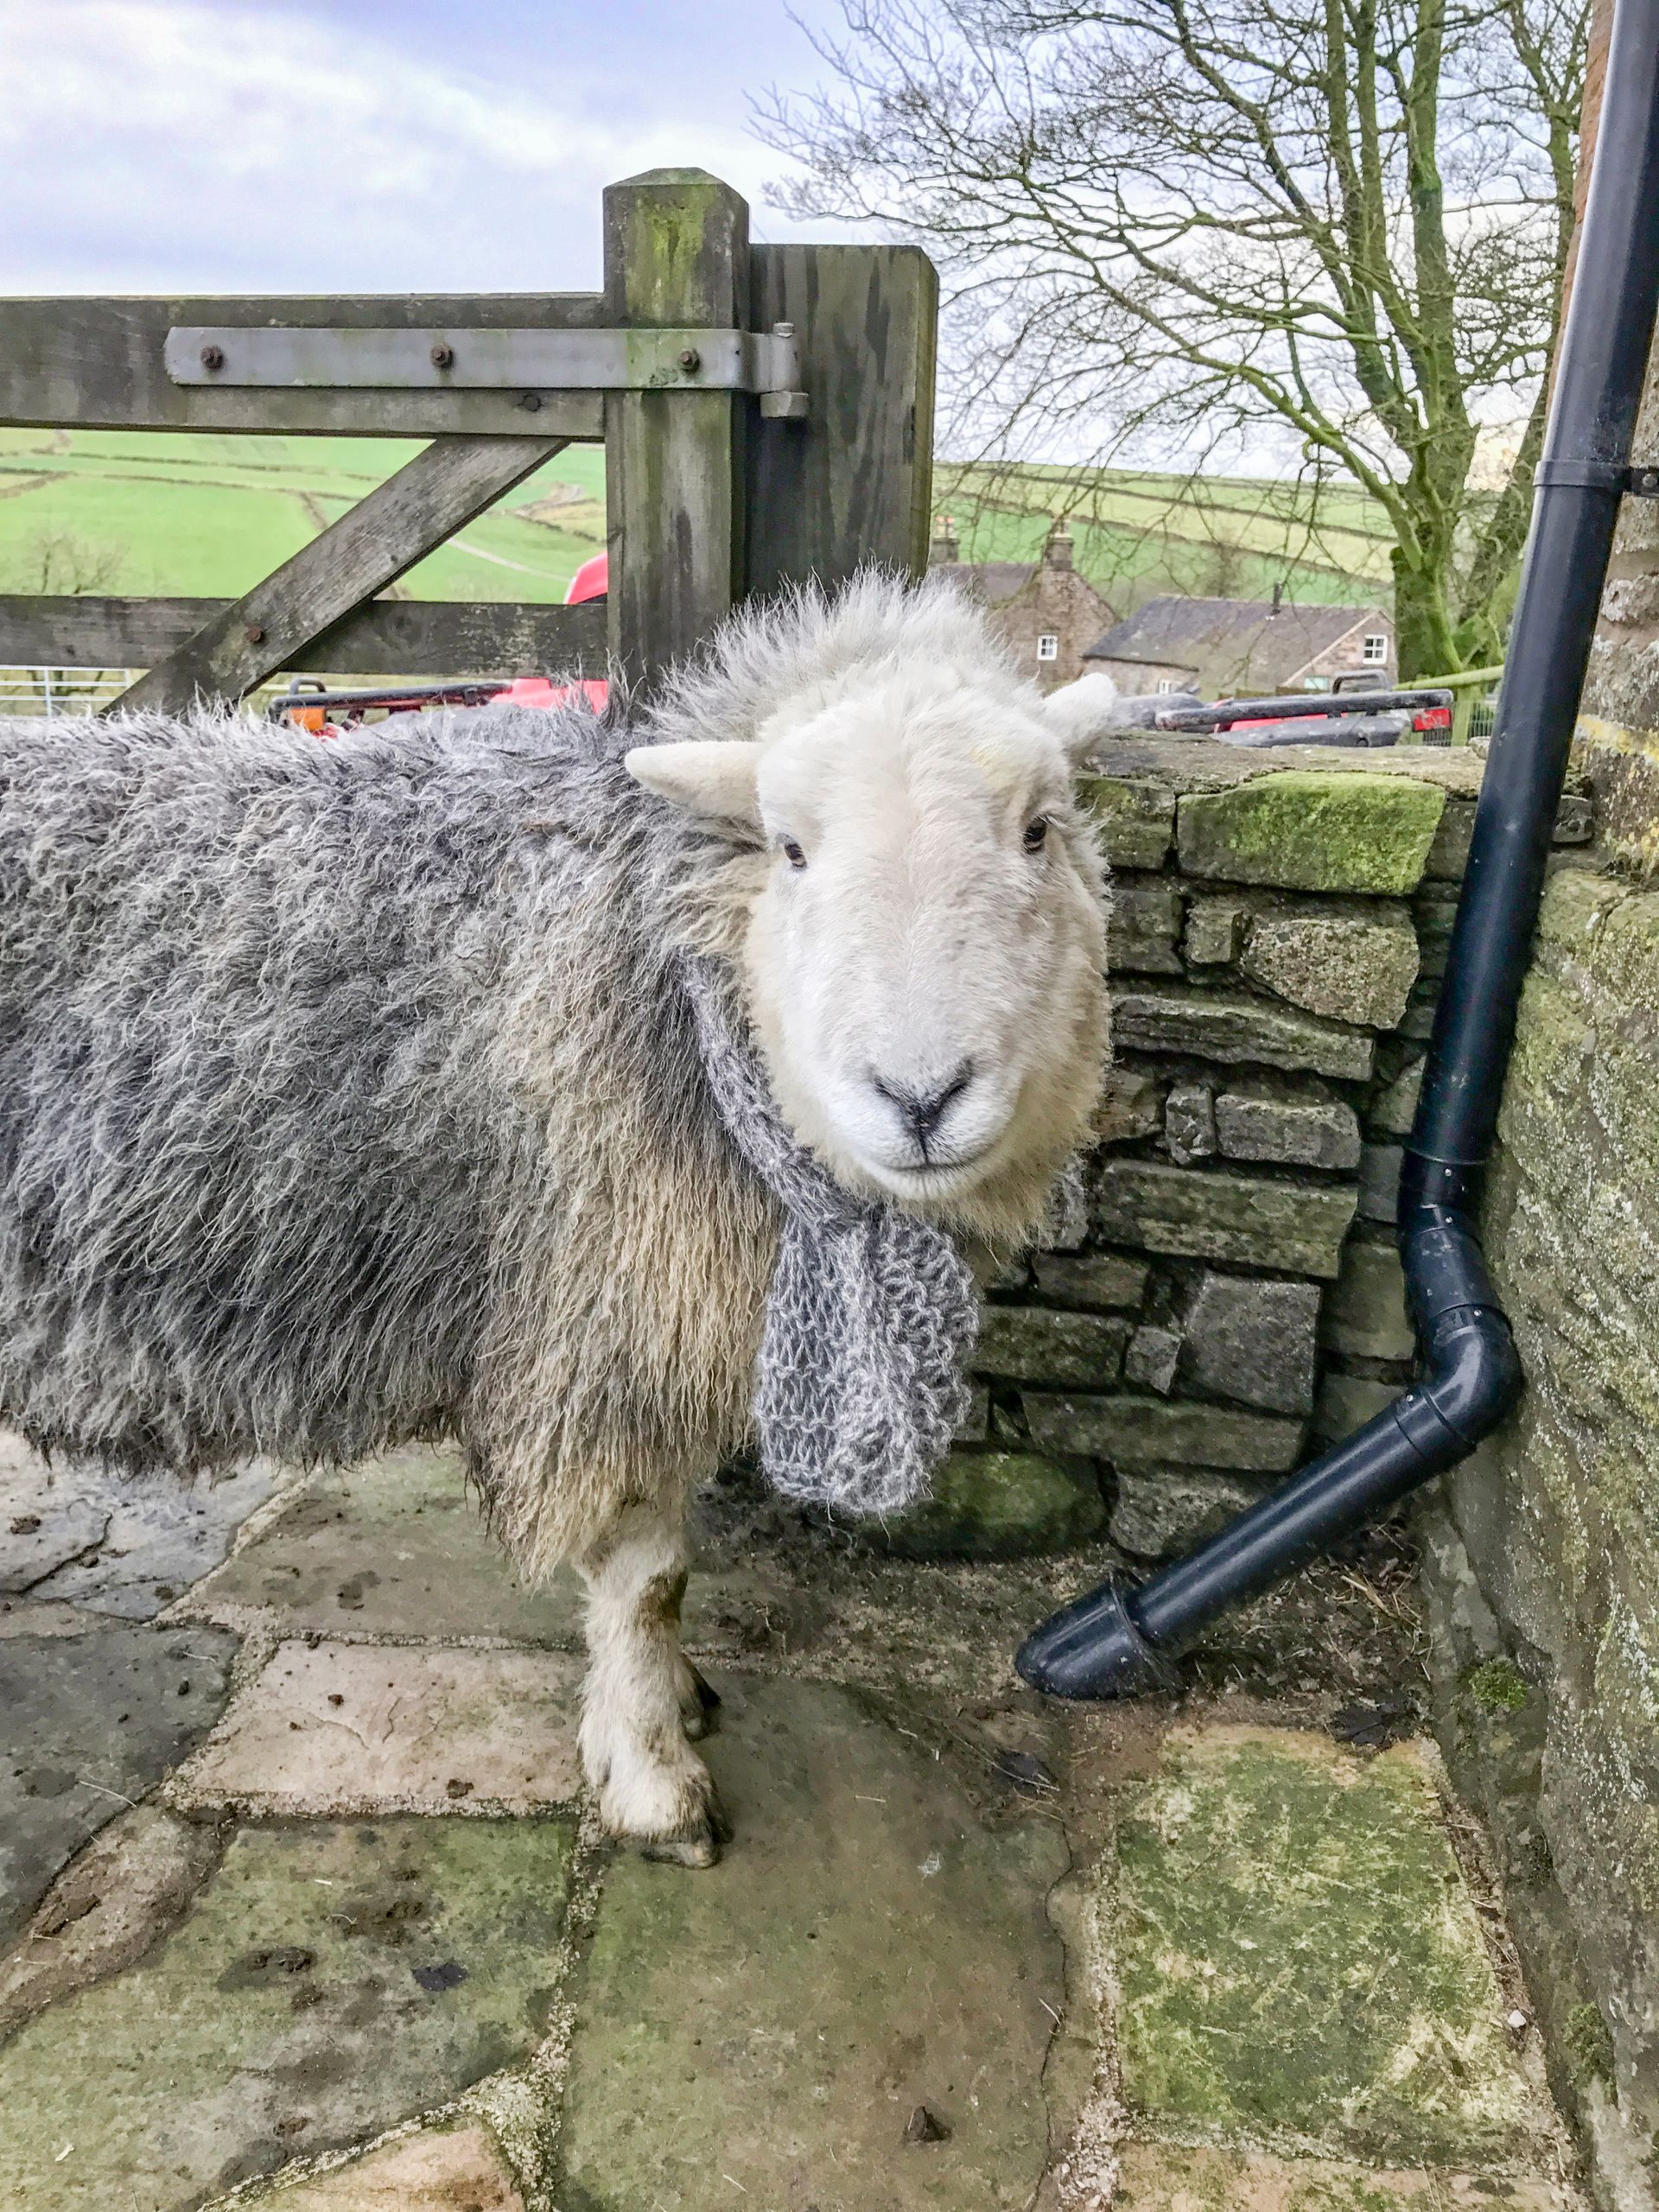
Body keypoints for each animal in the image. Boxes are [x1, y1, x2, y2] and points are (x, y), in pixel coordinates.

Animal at [0, 573, 1110, 1864]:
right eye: (790, 849)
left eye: (1038, 832)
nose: (922, 1097)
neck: (665, 962)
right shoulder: (606, 1322)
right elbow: (651, 1580)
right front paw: (655, 1781)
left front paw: (664, 1706)